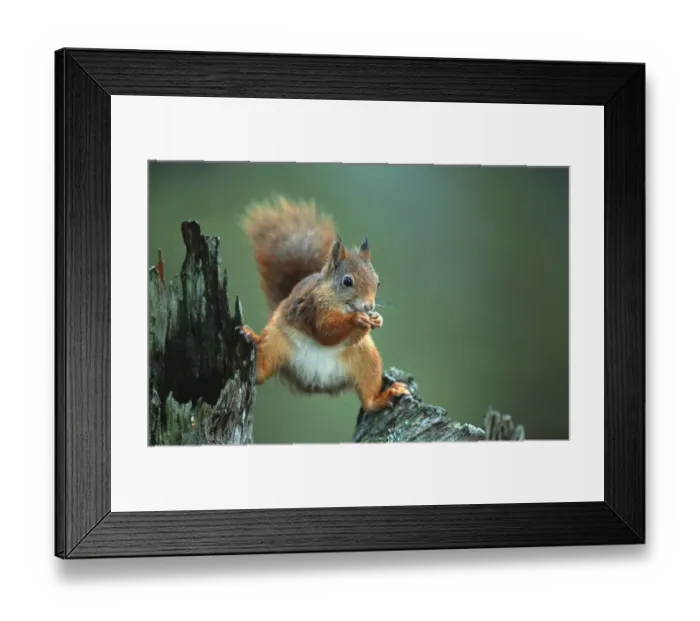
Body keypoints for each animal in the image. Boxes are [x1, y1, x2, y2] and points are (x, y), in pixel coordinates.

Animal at [237, 196, 411, 413]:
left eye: (377, 282)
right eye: (347, 281)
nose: (368, 307)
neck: (339, 302)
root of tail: (316, 382)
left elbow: (348, 338)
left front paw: (376, 319)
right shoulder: (313, 308)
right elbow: (325, 331)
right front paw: (357, 319)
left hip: (367, 359)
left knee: (368, 400)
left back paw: (385, 396)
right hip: (273, 342)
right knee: (260, 375)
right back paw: (251, 336)